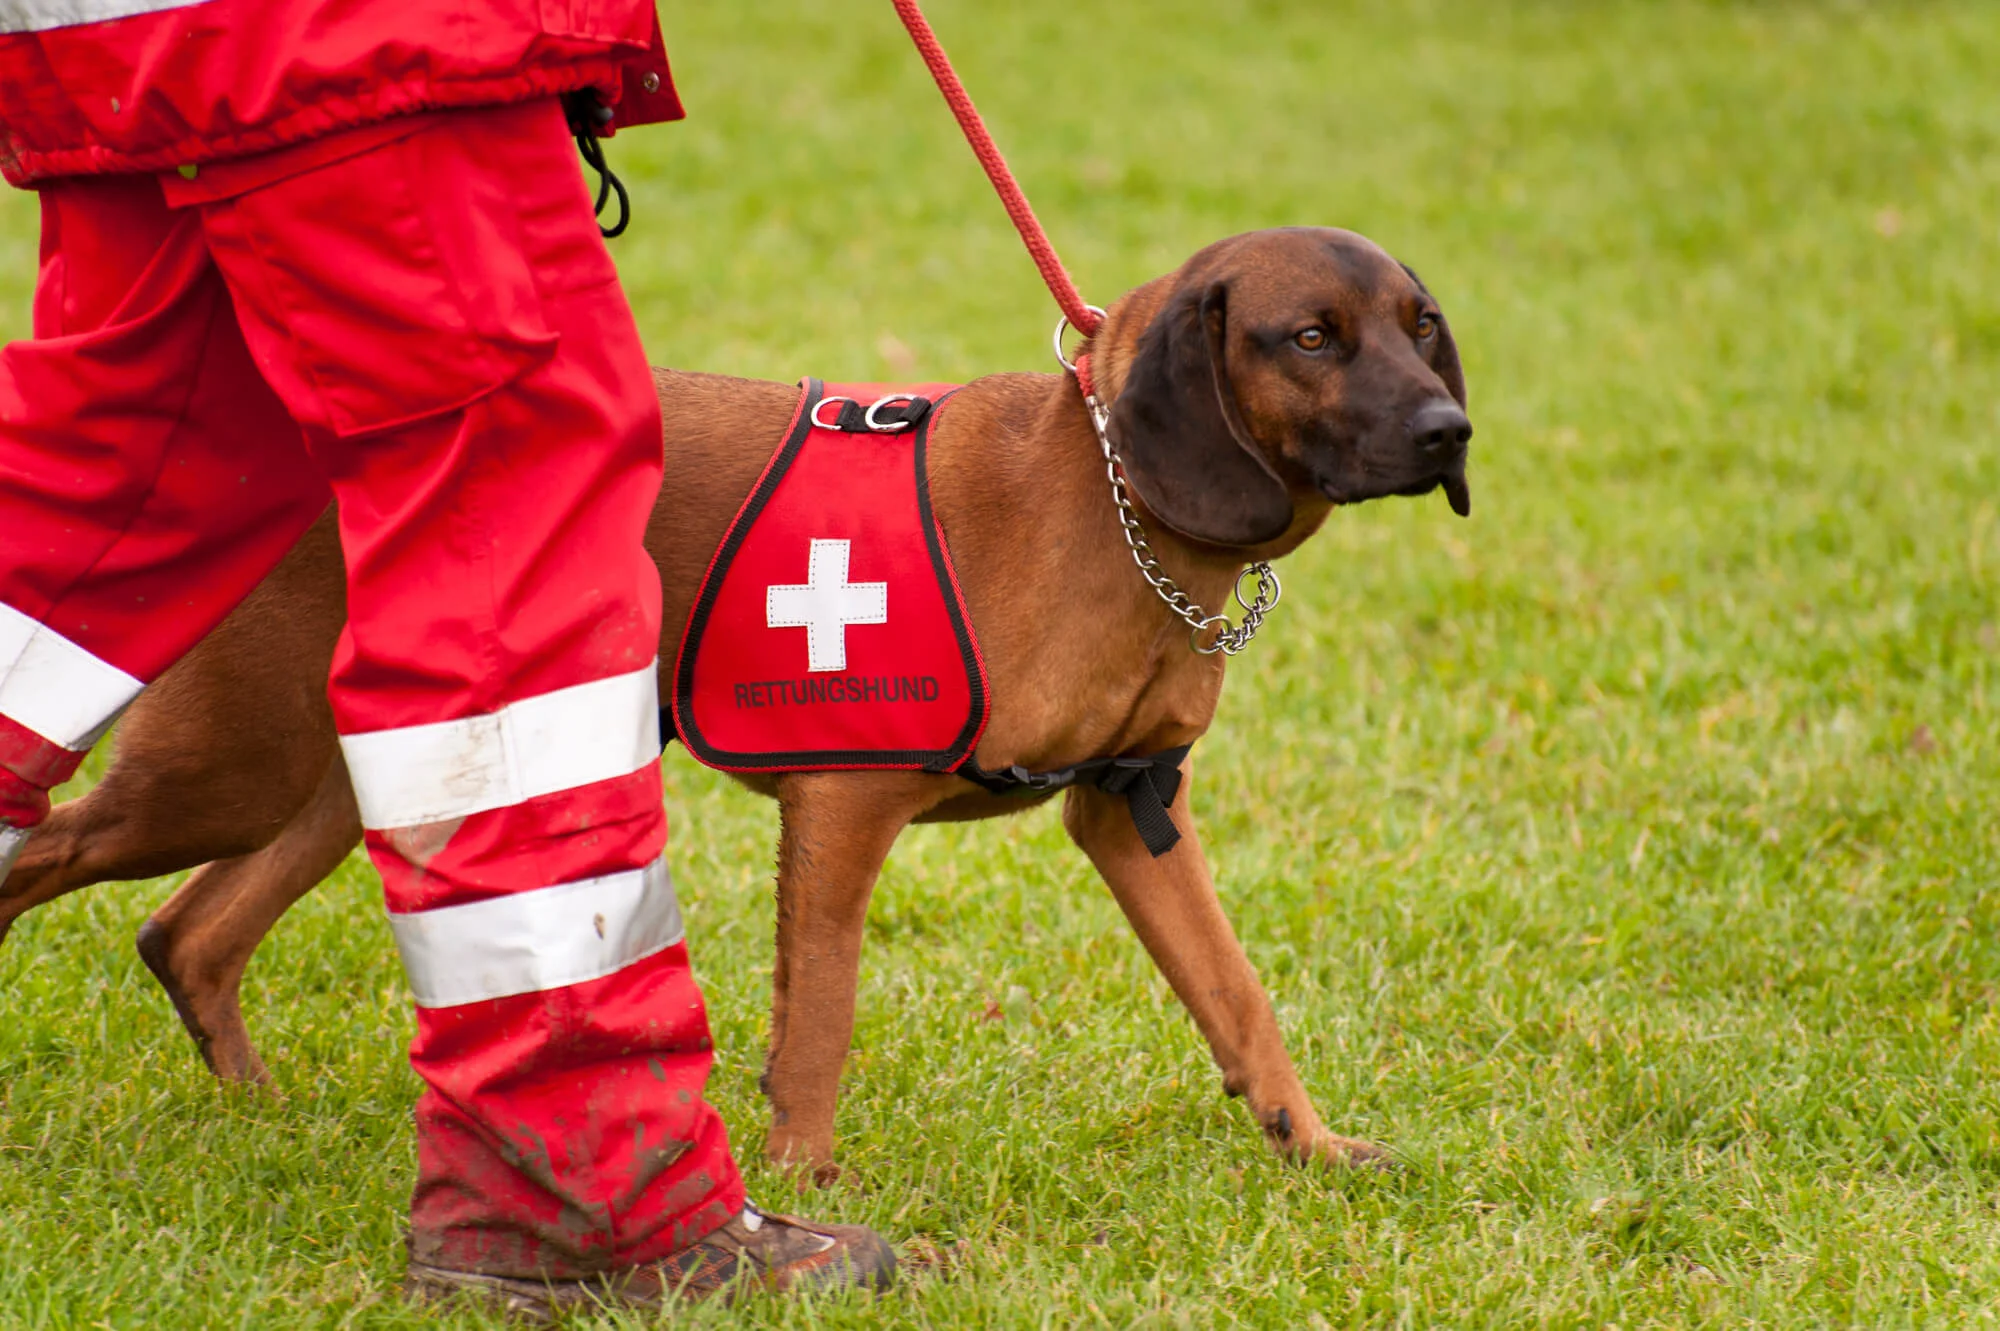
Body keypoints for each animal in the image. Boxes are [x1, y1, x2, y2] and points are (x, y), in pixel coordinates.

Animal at [0, 225, 1472, 1175]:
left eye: (1419, 328)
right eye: (1311, 337)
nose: (1451, 430)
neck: (1110, 503)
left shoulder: (1130, 812)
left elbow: (1237, 995)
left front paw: (1308, 1141)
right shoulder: (842, 805)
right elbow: (817, 1018)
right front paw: (806, 1186)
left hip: (354, 773)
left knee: (189, 934)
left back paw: (267, 1119)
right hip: (221, 770)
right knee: (46, 855)